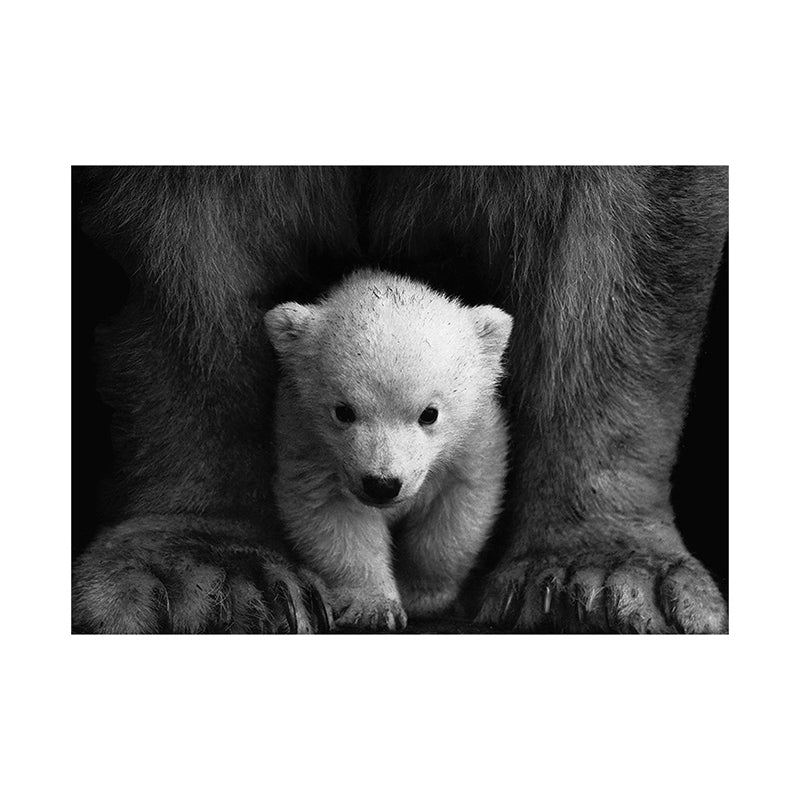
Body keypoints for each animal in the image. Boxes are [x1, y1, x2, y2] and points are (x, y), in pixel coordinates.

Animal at [264, 269, 513, 630]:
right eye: (343, 411)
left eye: (429, 413)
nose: (382, 484)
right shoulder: (308, 444)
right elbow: (333, 517)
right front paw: (374, 607)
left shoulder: (474, 442)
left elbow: (456, 513)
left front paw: (422, 595)